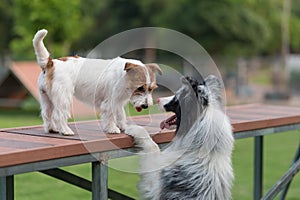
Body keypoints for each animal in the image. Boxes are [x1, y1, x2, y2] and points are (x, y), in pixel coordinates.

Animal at [32, 29, 162, 136]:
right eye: (140, 88)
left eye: (151, 89)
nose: (145, 106)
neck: (123, 77)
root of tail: (50, 63)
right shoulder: (109, 102)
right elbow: (110, 116)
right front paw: (112, 128)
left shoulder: (118, 103)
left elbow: (121, 115)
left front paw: (123, 126)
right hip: (63, 98)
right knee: (59, 115)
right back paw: (65, 130)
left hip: (47, 99)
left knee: (46, 114)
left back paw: (51, 129)